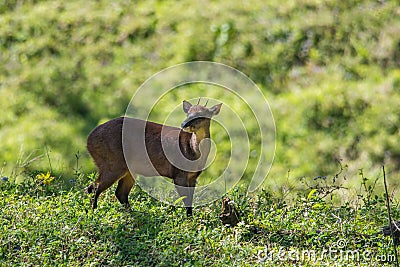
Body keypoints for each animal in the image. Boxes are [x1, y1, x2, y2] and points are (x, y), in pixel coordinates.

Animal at [86, 99, 222, 217]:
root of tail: (89, 140)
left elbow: (190, 201)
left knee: (119, 192)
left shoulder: (193, 177)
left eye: (201, 115)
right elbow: (186, 200)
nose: (183, 124)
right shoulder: (179, 174)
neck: (193, 152)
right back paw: (93, 215)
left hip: (128, 169)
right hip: (112, 163)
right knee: (94, 188)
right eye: (188, 113)